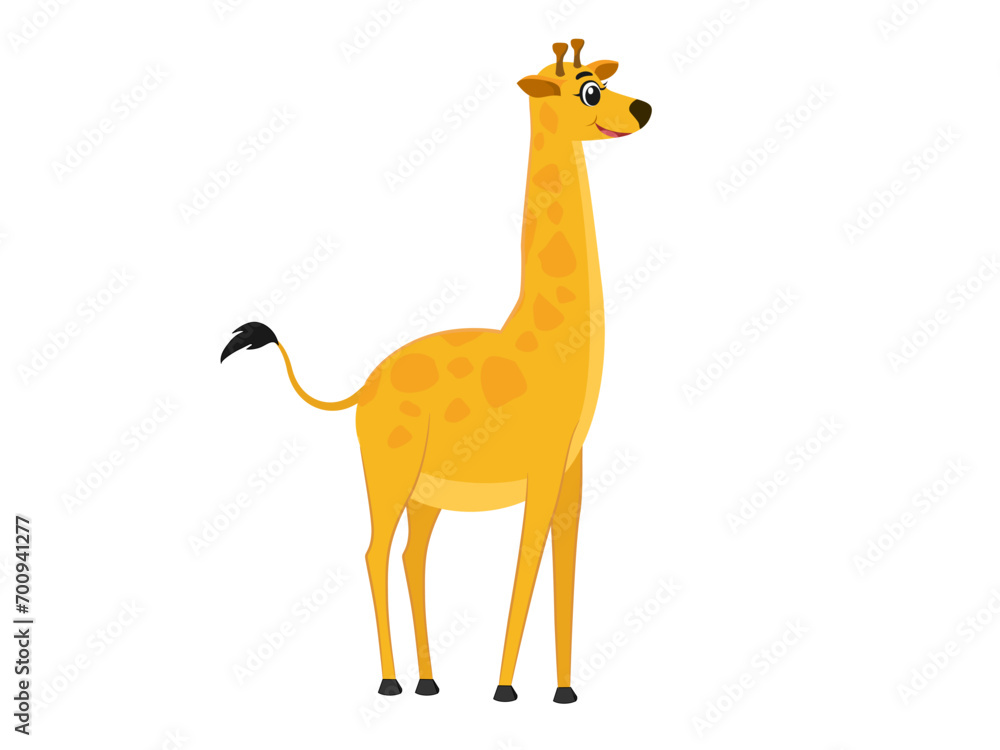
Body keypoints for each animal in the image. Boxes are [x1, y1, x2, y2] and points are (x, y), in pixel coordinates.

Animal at [221, 39, 651, 703]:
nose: (644, 109)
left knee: (410, 556)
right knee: (375, 552)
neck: (547, 340)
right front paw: (504, 689)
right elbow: (525, 564)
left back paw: (428, 680)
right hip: (388, 473)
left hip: (426, 492)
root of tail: (363, 389)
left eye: (602, 80)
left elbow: (565, 570)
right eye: (588, 90)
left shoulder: (572, 474)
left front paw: (564, 691)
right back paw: (391, 681)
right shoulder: (542, 469)